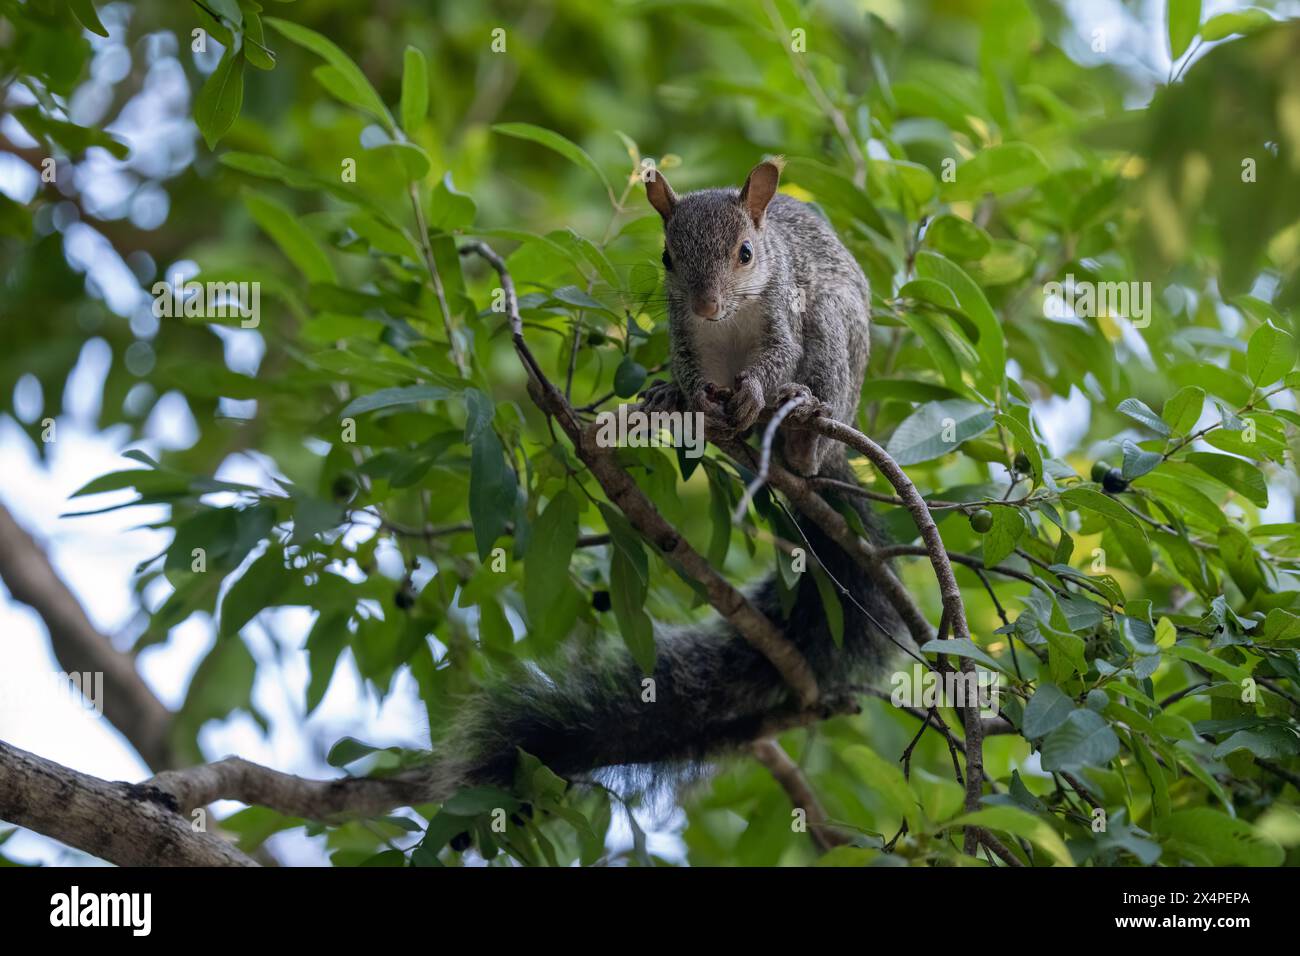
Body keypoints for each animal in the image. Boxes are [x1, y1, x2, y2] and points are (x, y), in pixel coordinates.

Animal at [425, 159, 901, 800]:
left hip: (833, 336)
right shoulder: (684, 335)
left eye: (746, 253)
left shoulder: (785, 308)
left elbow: (776, 356)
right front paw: (683, 393)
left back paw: (800, 435)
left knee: (813, 407)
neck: (729, 323)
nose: (705, 305)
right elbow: (688, 367)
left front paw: (755, 393)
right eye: (669, 257)